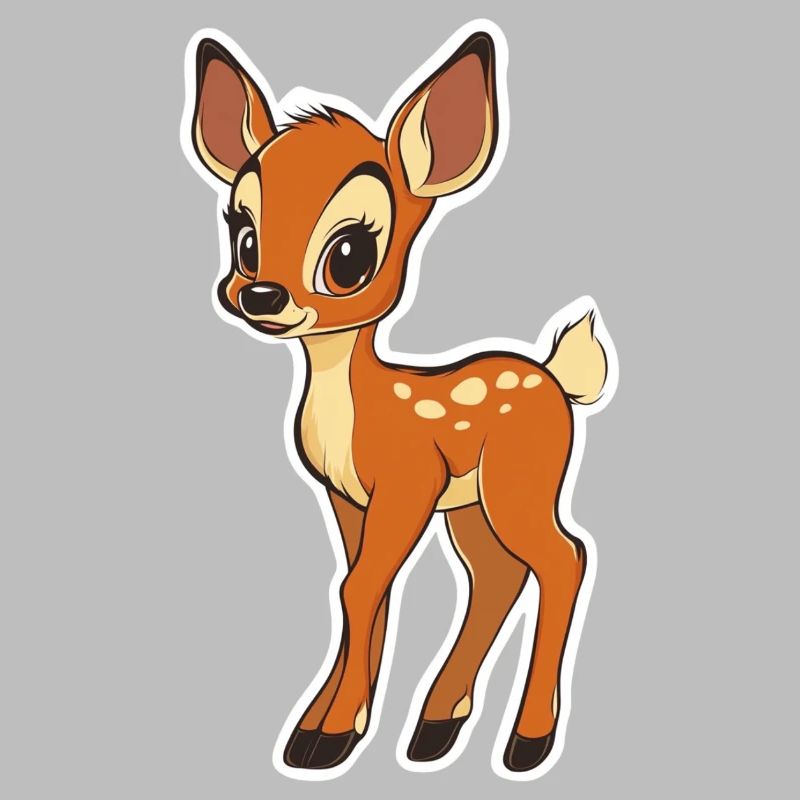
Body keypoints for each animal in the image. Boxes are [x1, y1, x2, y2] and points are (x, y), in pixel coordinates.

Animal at [183, 24, 614, 778]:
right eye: (244, 235)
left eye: (351, 254)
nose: (259, 295)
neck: (358, 408)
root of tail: (556, 379)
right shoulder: (348, 496)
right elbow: (360, 590)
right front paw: (320, 731)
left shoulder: (407, 483)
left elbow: (361, 588)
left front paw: (330, 737)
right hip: (472, 503)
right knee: (496, 575)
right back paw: (437, 727)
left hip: (520, 482)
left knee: (564, 558)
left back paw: (527, 742)